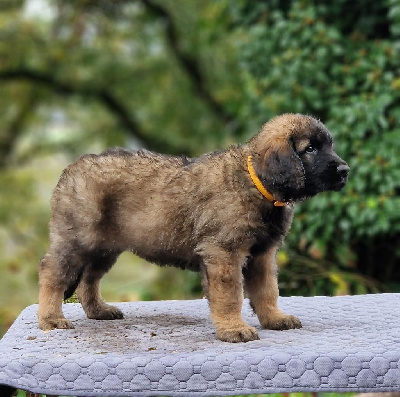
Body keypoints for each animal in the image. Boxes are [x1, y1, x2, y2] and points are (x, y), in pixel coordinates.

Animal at [38, 113, 350, 340]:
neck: (254, 182)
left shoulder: (262, 255)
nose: (345, 171)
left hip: (104, 247)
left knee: (89, 279)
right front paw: (234, 329)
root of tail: (70, 171)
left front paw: (274, 317)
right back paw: (51, 318)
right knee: (52, 273)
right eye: (310, 148)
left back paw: (98, 310)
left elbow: (267, 290)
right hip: (77, 240)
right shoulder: (224, 252)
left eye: (329, 145)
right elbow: (230, 294)